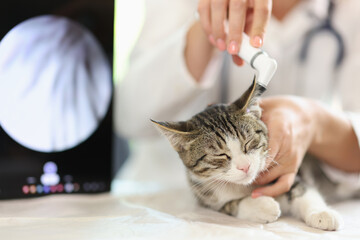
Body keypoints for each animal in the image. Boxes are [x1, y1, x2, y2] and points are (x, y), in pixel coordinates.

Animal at [150, 78, 344, 231]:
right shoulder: (204, 195)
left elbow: (302, 189)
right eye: (220, 155)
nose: (245, 166)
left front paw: (321, 213)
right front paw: (262, 206)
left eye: (249, 141)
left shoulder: (292, 173)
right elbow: (231, 205)